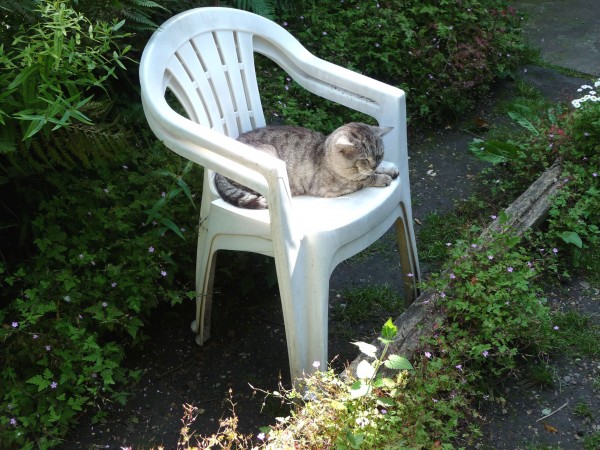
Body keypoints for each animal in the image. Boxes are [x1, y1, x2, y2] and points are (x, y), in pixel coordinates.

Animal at [216, 121, 398, 209]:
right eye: (364, 160)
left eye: (379, 155)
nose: (374, 165)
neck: (324, 155)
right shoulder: (333, 188)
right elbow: (364, 180)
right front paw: (383, 177)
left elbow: (371, 173)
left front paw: (389, 170)